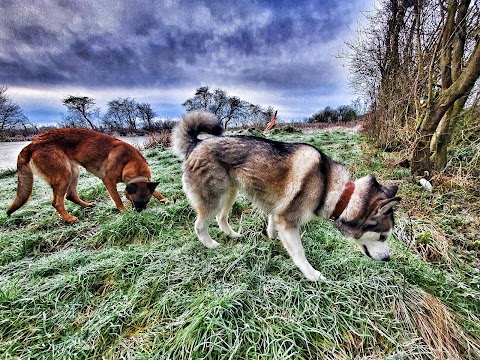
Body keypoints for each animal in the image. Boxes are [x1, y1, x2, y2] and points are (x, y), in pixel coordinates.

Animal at [6, 126, 172, 222]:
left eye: (146, 202)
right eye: (135, 202)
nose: (139, 214)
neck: (128, 161)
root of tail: (33, 142)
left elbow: (156, 191)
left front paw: (165, 200)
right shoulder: (108, 181)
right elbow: (117, 199)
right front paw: (123, 211)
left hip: (74, 172)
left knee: (71, 195)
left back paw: (86, 205)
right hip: (64, 175)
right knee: (57, 202)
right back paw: (69, 218)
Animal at [172, 111, 402, 280]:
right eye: (383, 236)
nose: (388, 259)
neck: (336, 192)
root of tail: (196, 143)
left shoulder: (279, 214)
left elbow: (272, 224)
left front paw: (271, 237)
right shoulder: (288, 222)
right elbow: (299, 252)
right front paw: (312, 275)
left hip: (230, 192)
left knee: (221, 218)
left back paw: (233, 235)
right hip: (214, 198)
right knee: (200, 225)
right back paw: (211, 245)